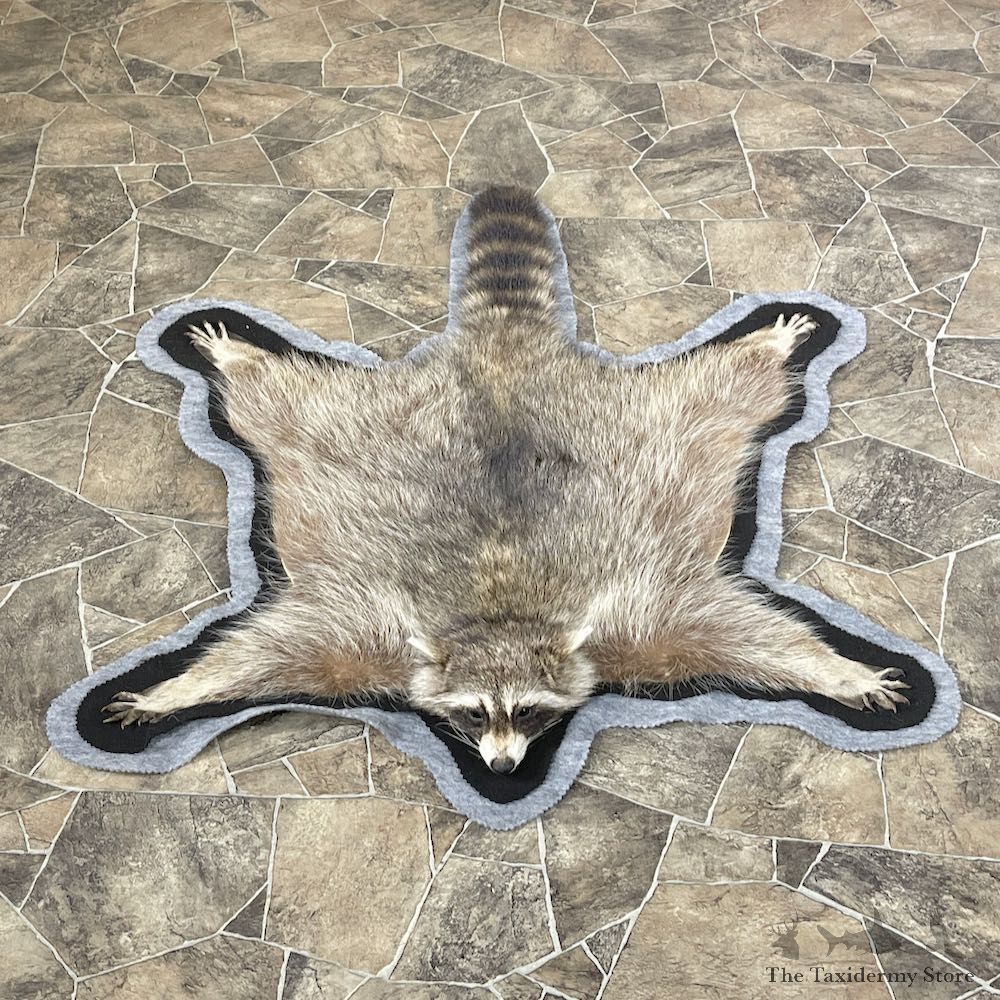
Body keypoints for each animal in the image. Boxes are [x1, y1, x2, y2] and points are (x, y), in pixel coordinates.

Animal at [105, 186, 908, 773]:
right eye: (471, 714)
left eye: (528, 712)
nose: (499, 770)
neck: (501, 617)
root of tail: (505, 348)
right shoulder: (362, 633)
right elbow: (269, 653)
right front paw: (178, 691)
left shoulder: (642, 623)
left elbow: (743, 634)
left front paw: (840, 674)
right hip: (337, 428)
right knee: (276, 401)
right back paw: (240, 357)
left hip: (666, 424)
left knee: (728, 387)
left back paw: (764, 343)